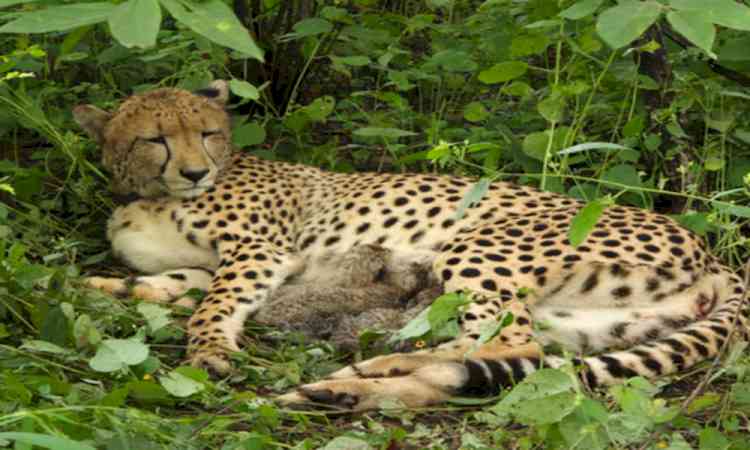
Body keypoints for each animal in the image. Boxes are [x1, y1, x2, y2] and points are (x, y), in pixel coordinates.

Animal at [73, 80, 748, 411]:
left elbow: (212, 305)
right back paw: (349, 386)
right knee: (495, 357)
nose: (194, 172)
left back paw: (366, 372)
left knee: (508, 342)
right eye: (156, 139)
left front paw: (209, 351)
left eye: (208, 133)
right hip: (592, 321)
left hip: (477, 246)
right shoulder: (215, 265)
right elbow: (164, 285)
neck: (149, 193)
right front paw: (98, 286)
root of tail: (714, 254)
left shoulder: (260, 253)